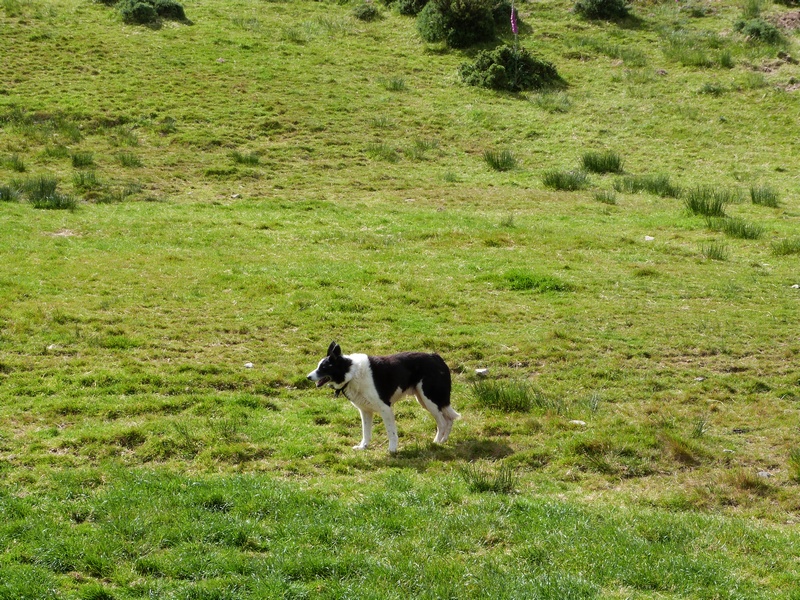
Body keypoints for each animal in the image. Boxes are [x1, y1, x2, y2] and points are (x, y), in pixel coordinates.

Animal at [308, 342, 462, 450]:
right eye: (318, 366)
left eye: (324, 368)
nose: (308, 377)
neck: (352, 372)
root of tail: (436, 357)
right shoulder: (365, 411)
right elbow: (366, 432)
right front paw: (363, 447)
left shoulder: (385, 408)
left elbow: (391, 432)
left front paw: (392, 449)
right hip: (426, 400)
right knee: (449, 420)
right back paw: (443, 441)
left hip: (430, 399)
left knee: (442, 423)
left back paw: (436, 443)